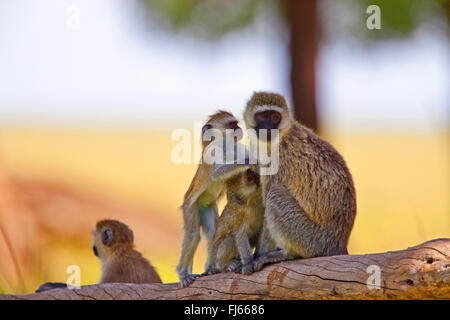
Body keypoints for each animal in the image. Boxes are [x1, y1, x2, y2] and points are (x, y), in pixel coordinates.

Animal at [178, 110, 251, 288]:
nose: (239, 128)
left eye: (236, 123)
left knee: (212, 232)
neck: (225, 144)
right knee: (193, 235)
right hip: (190, 207)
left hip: (206, 206)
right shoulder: (212, 151)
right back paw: (183, 274)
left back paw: (213, 268)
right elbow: (217, 173)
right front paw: (252, 159)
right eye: (232, 124)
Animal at [244, 91, 356, 272]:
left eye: (275, 117)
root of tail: (338, 244)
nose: (268, 128)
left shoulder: (278, 162)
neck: (281, 137)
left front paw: (258, 255)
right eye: (262, 116)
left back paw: (288, 253)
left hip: (310, 239)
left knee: (275, 195)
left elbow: (267, 207)